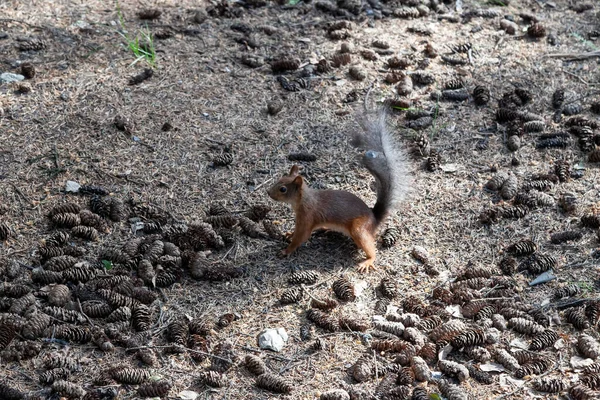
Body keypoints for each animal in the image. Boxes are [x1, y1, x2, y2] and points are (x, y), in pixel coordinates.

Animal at [268, 108, 412, 274]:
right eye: (280, 178)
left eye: (283, 189)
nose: (268, 193)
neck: (304, 200)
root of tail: (374, 220)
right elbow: (296, 232)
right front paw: (289, 234)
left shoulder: (307, 217)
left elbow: (301, 237)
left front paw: (286, 250)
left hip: (358, 230)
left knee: (370, 248)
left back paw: (368, 261)